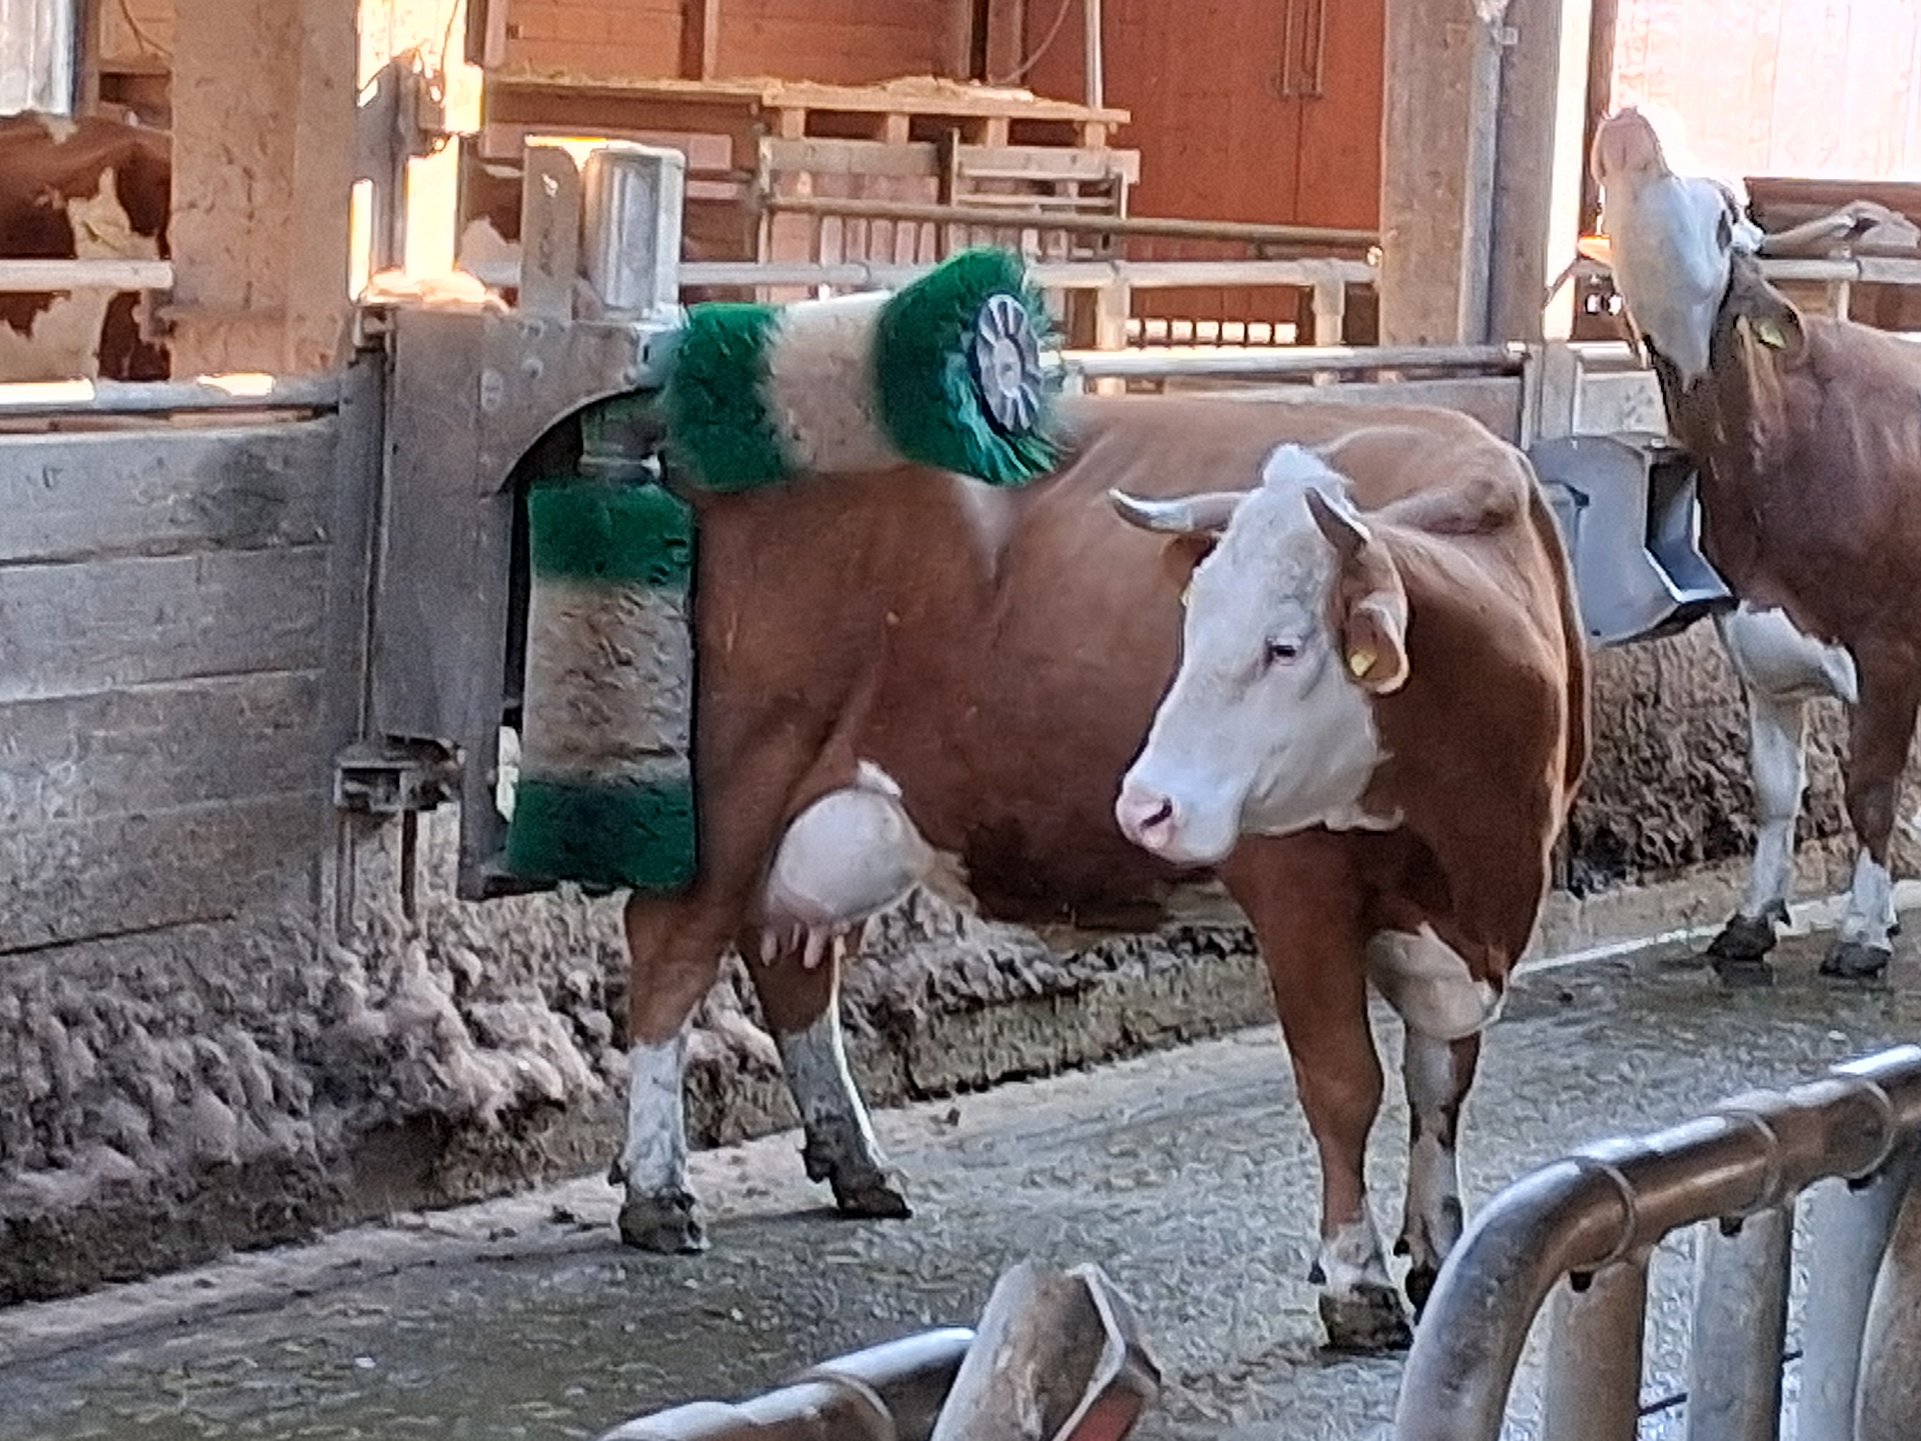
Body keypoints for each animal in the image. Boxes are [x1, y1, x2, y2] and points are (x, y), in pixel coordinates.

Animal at [613, 395, 1587, 1352]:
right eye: (1186, 629)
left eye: (1284, 645)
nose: (1145, 805)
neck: (1465, 838)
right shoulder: (1297, 885)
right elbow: (1345, 1081)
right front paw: (1356, 1280)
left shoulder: (1470, 920)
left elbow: (1441, 1080)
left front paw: (1441, 1248)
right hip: (731, 782)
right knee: (673, 954)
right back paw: (658, 1190)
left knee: (793, 965)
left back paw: (854, 1160)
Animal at [1592, 108, 1921, 985]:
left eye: (1722, 204)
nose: (1631, 119)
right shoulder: (1753, 638)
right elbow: (1774, 789)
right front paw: (1748, 921)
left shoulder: (1891, 648)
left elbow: (1870, 788)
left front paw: (1862, 933)